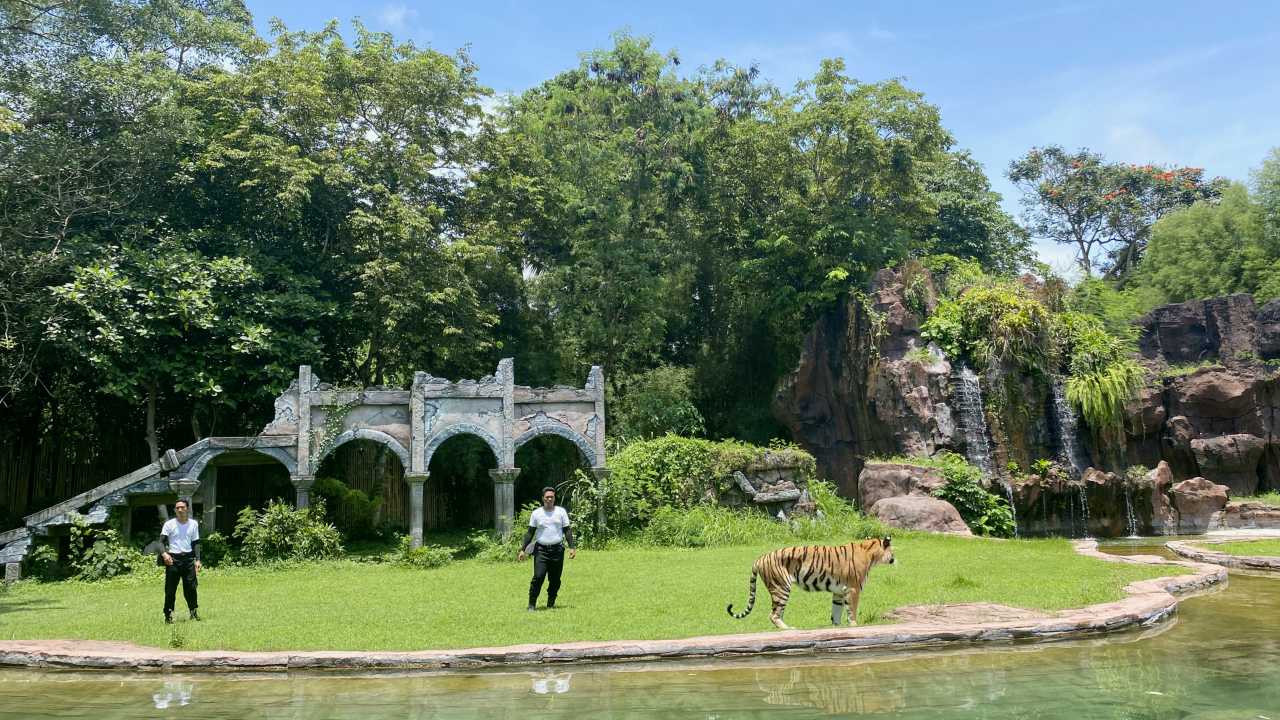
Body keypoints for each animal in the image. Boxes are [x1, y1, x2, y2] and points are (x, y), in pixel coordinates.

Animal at [727, 532, 896, 627]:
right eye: (892, 551)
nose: (894, 559)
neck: (871, 553)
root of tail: (760, 558)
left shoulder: (839, 592)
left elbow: (836, 611)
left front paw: (836, 626)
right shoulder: (853, 589)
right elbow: (852, 610)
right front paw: (854, 625)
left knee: (776, 613)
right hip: (781, 587)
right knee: (773, 615)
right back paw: (789, 629)